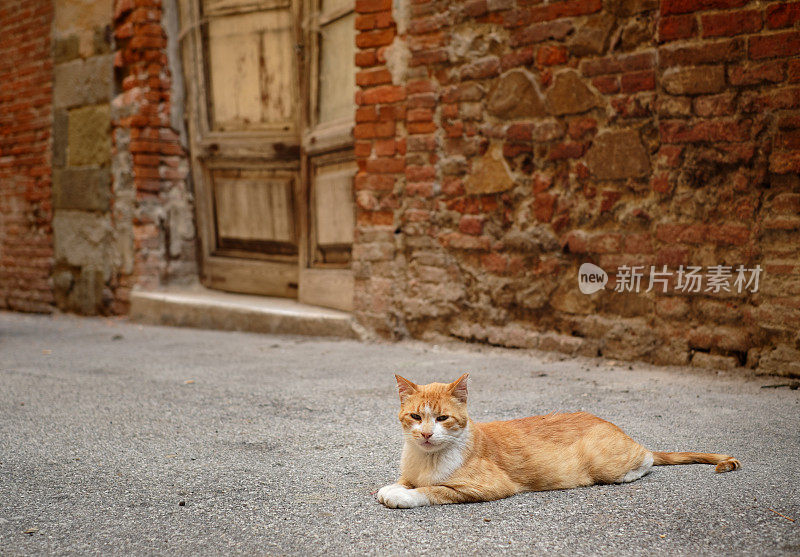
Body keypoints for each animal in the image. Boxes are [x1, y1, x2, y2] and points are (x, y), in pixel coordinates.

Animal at [378, 374, 740, 508]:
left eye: (442, 419)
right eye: (416, 417)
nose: (426, 434)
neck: (426, 459)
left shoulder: (488, 486)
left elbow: (433, 490)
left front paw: (403, 495)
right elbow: (404, 481)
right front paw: (395, 487)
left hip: (605, 462)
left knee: (647, 458)